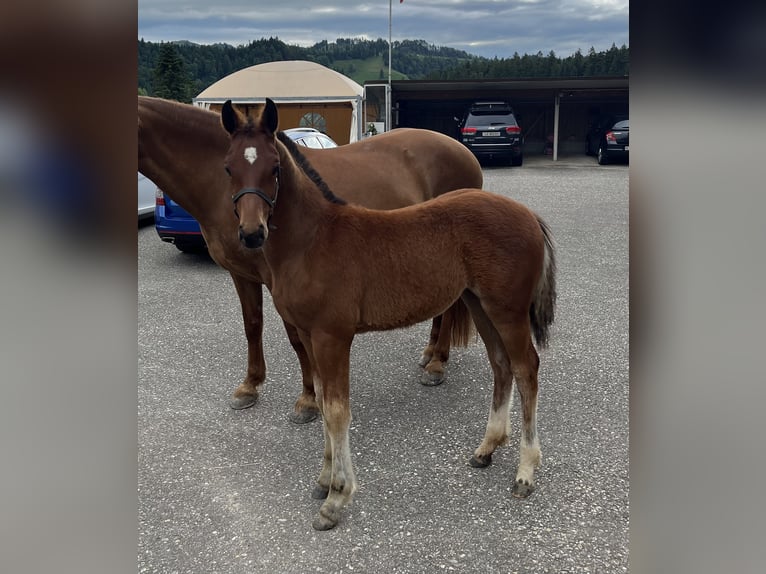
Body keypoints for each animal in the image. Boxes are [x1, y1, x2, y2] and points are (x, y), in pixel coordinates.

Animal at [137, 98, 484, 424]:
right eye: (227, 169)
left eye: (274, 169)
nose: (252, 232)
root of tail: (463, 152)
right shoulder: (243, 273)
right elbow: (252, 324)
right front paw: (250, 386)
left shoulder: (276, 278)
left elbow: (295, 338)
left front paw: (307, 399)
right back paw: (430, 353)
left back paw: (437, 365)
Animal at [222, 98, 560, 532]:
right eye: (229, 167)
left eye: (275, 168)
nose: (251, 233)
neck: (312, 241)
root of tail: (528, 215)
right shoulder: (310, 335)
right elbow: (325, 403)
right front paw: (323, 480)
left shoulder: (333, 336)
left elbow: (337, 411)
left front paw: (336, 498)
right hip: (479, 304)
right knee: (501, 365)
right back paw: (486, 449)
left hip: (508, 310)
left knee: (526, 369)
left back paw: (525, 472)